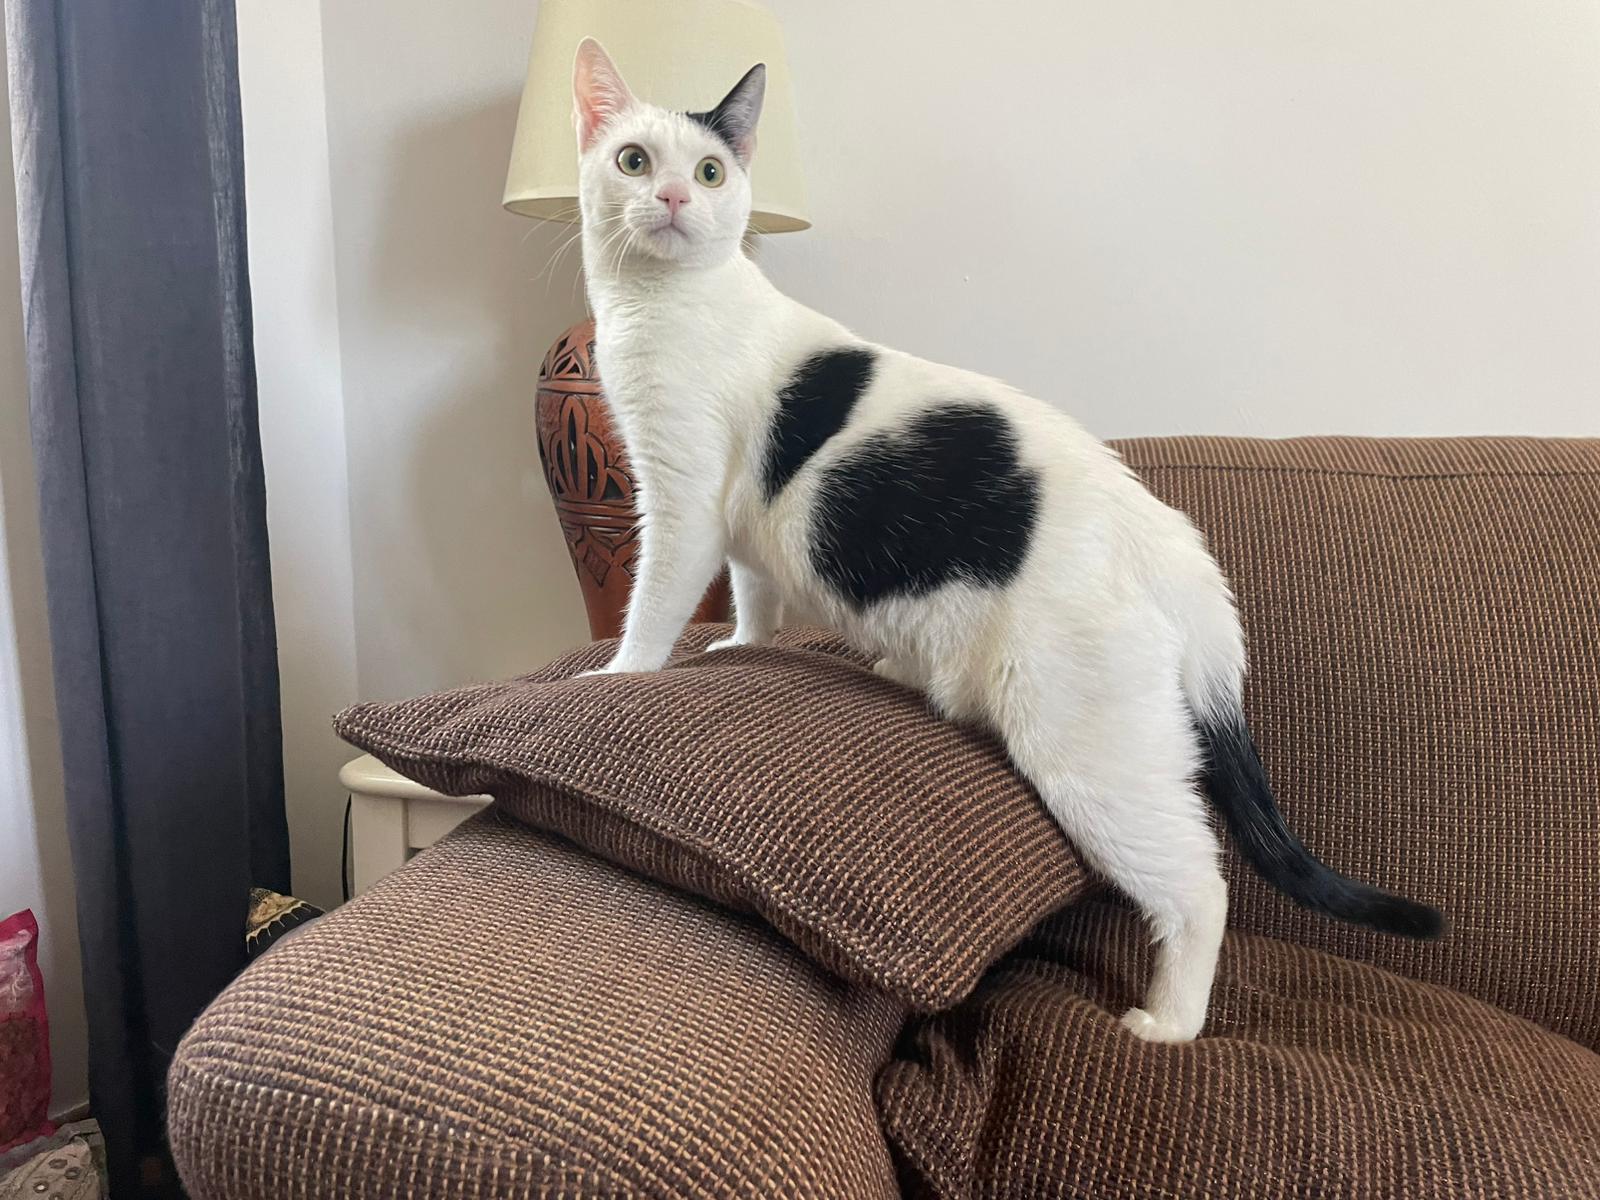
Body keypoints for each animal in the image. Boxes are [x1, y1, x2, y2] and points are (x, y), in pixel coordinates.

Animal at [569, 38, 1442, 1042]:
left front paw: (623, 674)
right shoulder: (741, 525)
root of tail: (1174, 547)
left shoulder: (681, 498)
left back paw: (1169, 1025)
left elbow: (657, 598)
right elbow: (753, 592)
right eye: (635, 160)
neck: (657, 305)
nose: (676, 199)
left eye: (711, 171)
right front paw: (744, 646)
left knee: (1200, 885)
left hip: (1087, 751)